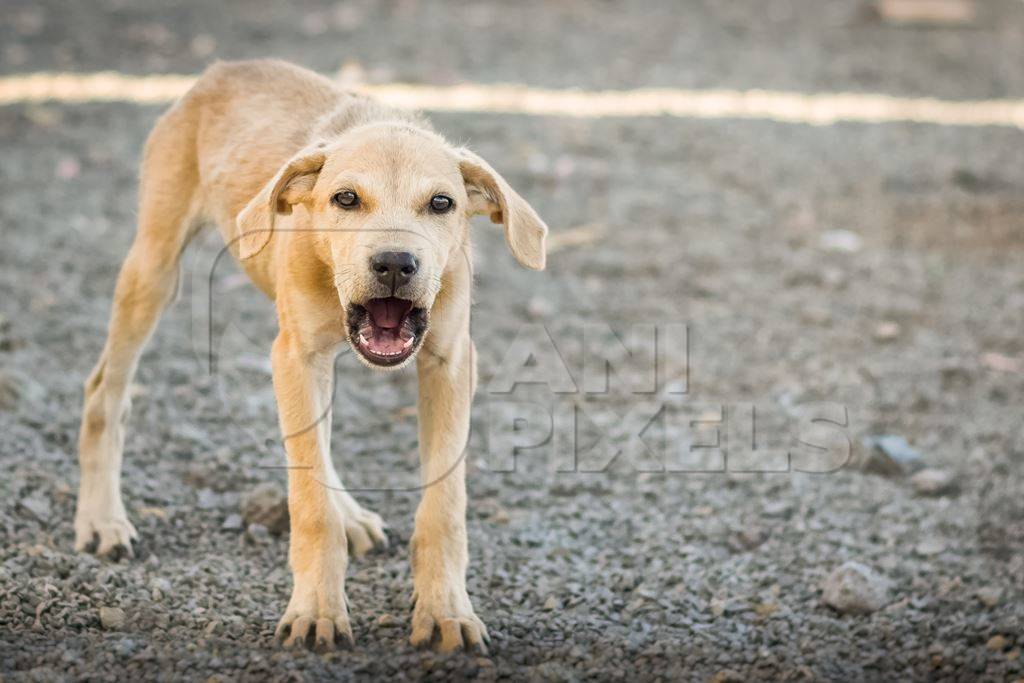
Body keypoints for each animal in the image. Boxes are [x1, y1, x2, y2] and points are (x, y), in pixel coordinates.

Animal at [74, 61, 548, 655]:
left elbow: (443, 506)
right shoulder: (297, 358)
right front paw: (317, 610)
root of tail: (221, 70)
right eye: (345, 199)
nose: (395, 263)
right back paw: (101, 520)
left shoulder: (449, 362)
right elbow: (310, 501)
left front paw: (445, 611)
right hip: (154, 267)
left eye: (442, 203)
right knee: (105, 391)